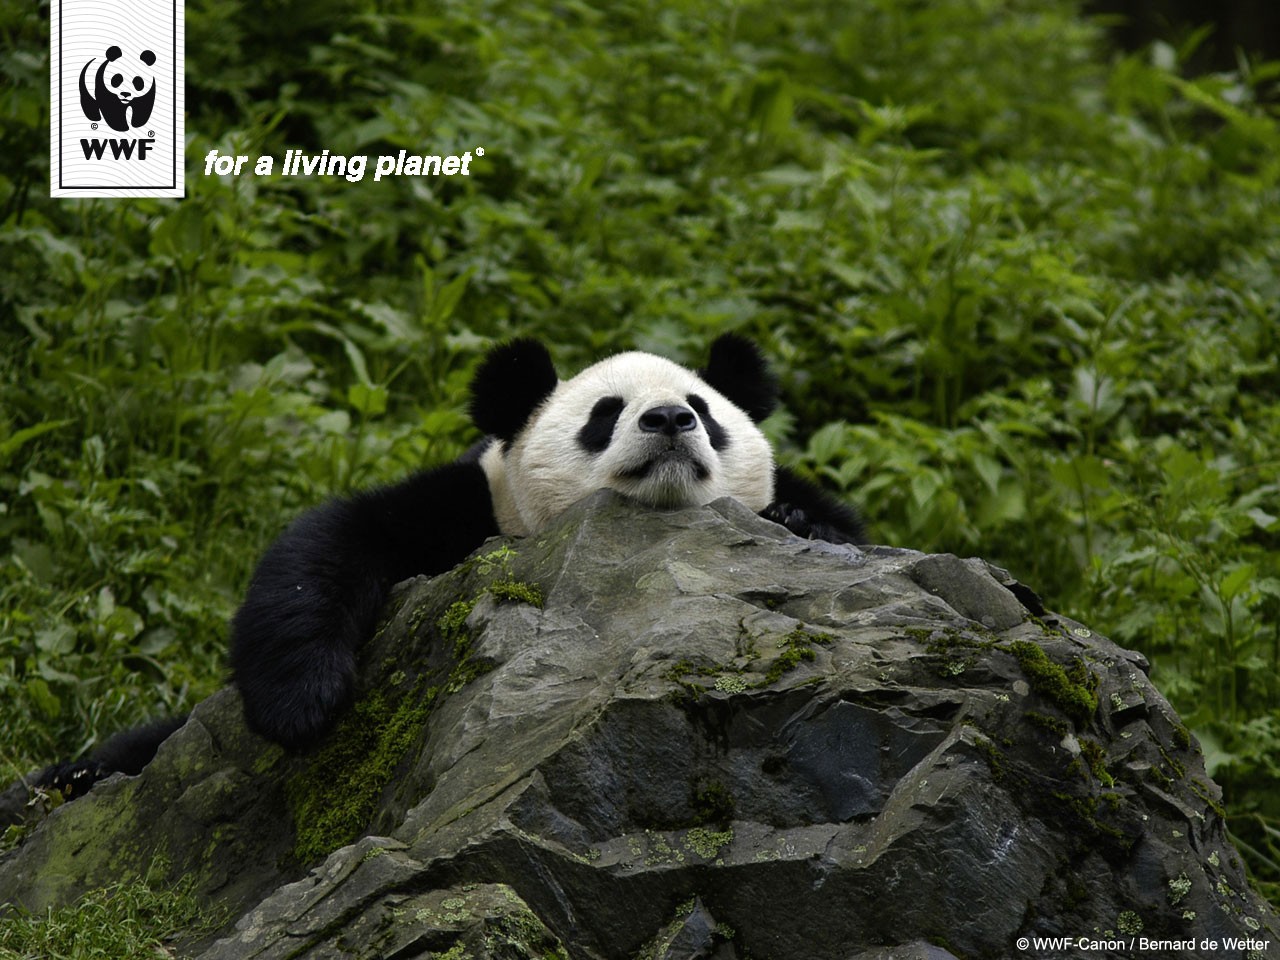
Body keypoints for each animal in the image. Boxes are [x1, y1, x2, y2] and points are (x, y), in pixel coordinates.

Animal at [32, 335, 861, 798]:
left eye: (705, 409)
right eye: (604, 415)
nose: (668, 420)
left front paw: (799, 524)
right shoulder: (477, 509)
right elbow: (334, 541)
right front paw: (304, 701)